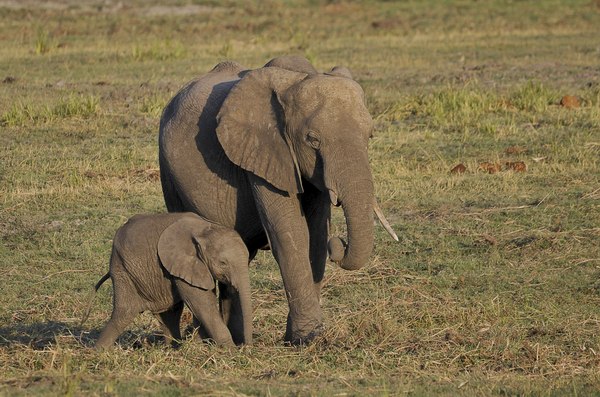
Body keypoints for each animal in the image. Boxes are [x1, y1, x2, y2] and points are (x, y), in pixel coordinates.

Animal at [94, 212, 253, 348]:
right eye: (223, 263)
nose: (245, 348)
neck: (205, 229)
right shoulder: (182, 263)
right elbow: (202, 302)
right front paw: (229, 350)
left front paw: (199, 345)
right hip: (123, 270)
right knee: (124, 313)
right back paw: (98, 352)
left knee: (170, 313)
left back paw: (173, 348)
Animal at [159, 55, 396, 344]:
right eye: (312, 140)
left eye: (370, 135)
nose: (339, 244)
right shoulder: (264, 153)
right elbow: (290, 233)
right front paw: (309, 338)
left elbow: (316, 236)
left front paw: (301, 336)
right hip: (168, 171)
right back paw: (205, 338)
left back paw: (234, 335)